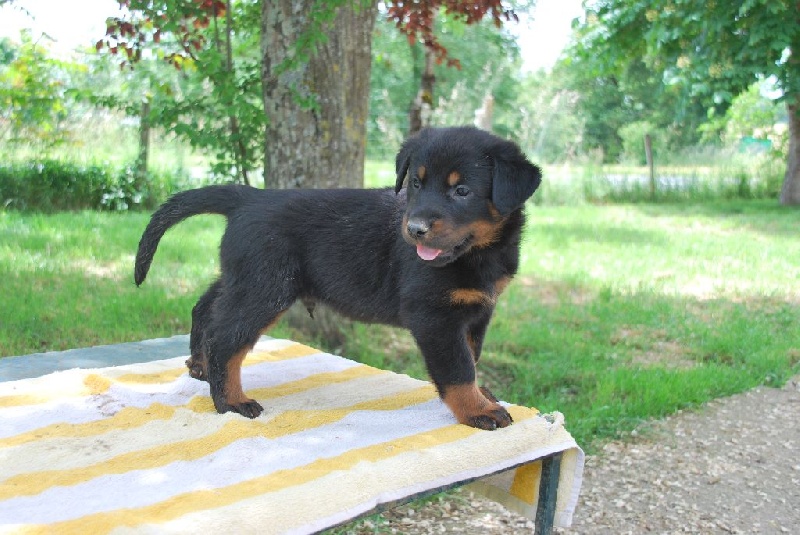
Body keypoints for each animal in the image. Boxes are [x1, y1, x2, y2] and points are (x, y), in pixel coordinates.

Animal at [134, 126, 541, 430]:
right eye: (416, 184)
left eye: (462, 191)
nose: (414, 229)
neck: (481, 253)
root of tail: (248, 197)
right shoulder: (435, 316)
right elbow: (458, 369)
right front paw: (478, 409)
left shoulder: (478, 311)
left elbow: (472, 358)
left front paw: (483, 395)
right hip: (265, 287)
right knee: (226, 339)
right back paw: (231, 402)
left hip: (244, 276)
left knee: (207, 308)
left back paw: (199, 365)